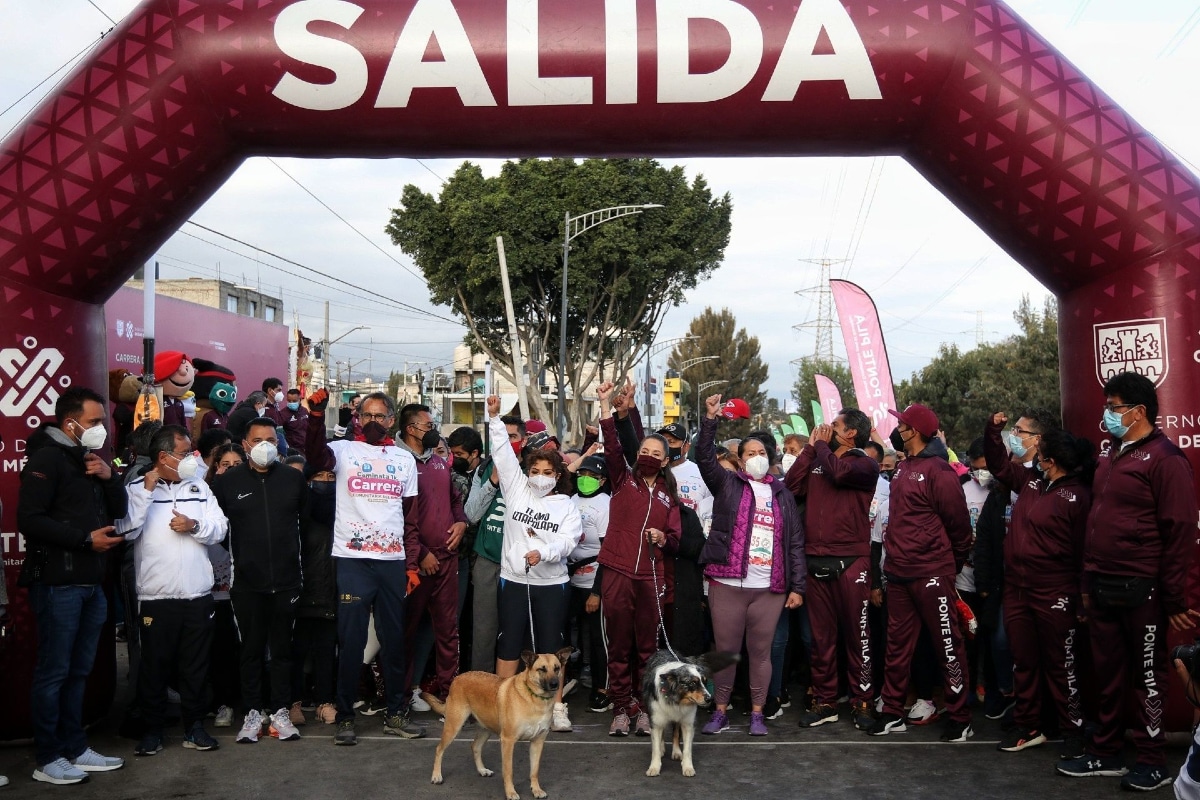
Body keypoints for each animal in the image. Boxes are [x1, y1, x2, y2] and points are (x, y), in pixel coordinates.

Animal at [432, 652, 571, 800]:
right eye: (542, 669)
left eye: (557, 668)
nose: (555, 684)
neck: (534, 698)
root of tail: (457, 677)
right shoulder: (508, 741)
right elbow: (508, 771)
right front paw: (511, 792)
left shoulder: (537, 742)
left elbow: (534, 771)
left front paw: (536, 790)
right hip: (453, 726)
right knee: (439, 749)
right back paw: (436, 776)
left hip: (485, 729)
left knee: (475, 746)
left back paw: (482, 770)